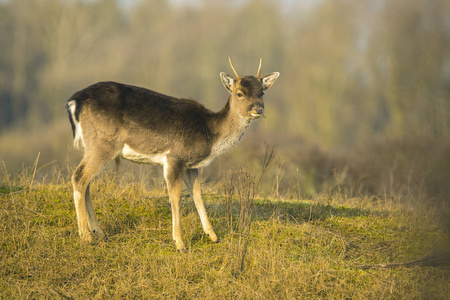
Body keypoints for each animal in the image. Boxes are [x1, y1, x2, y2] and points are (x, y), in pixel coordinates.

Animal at [66, 57, 278, 252]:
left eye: (262, 92)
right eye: (239, 93)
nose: (258, 109)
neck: (210, 134)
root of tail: (74, 101)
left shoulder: (192, 165)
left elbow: (197, 194)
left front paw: (213, 236)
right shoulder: (175, 157)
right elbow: (175, 197)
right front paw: (180, 243)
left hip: (94, 146)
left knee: (86, 182)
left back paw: (98, 232)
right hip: (103, 143)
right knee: (79, 177)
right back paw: (86, 236)